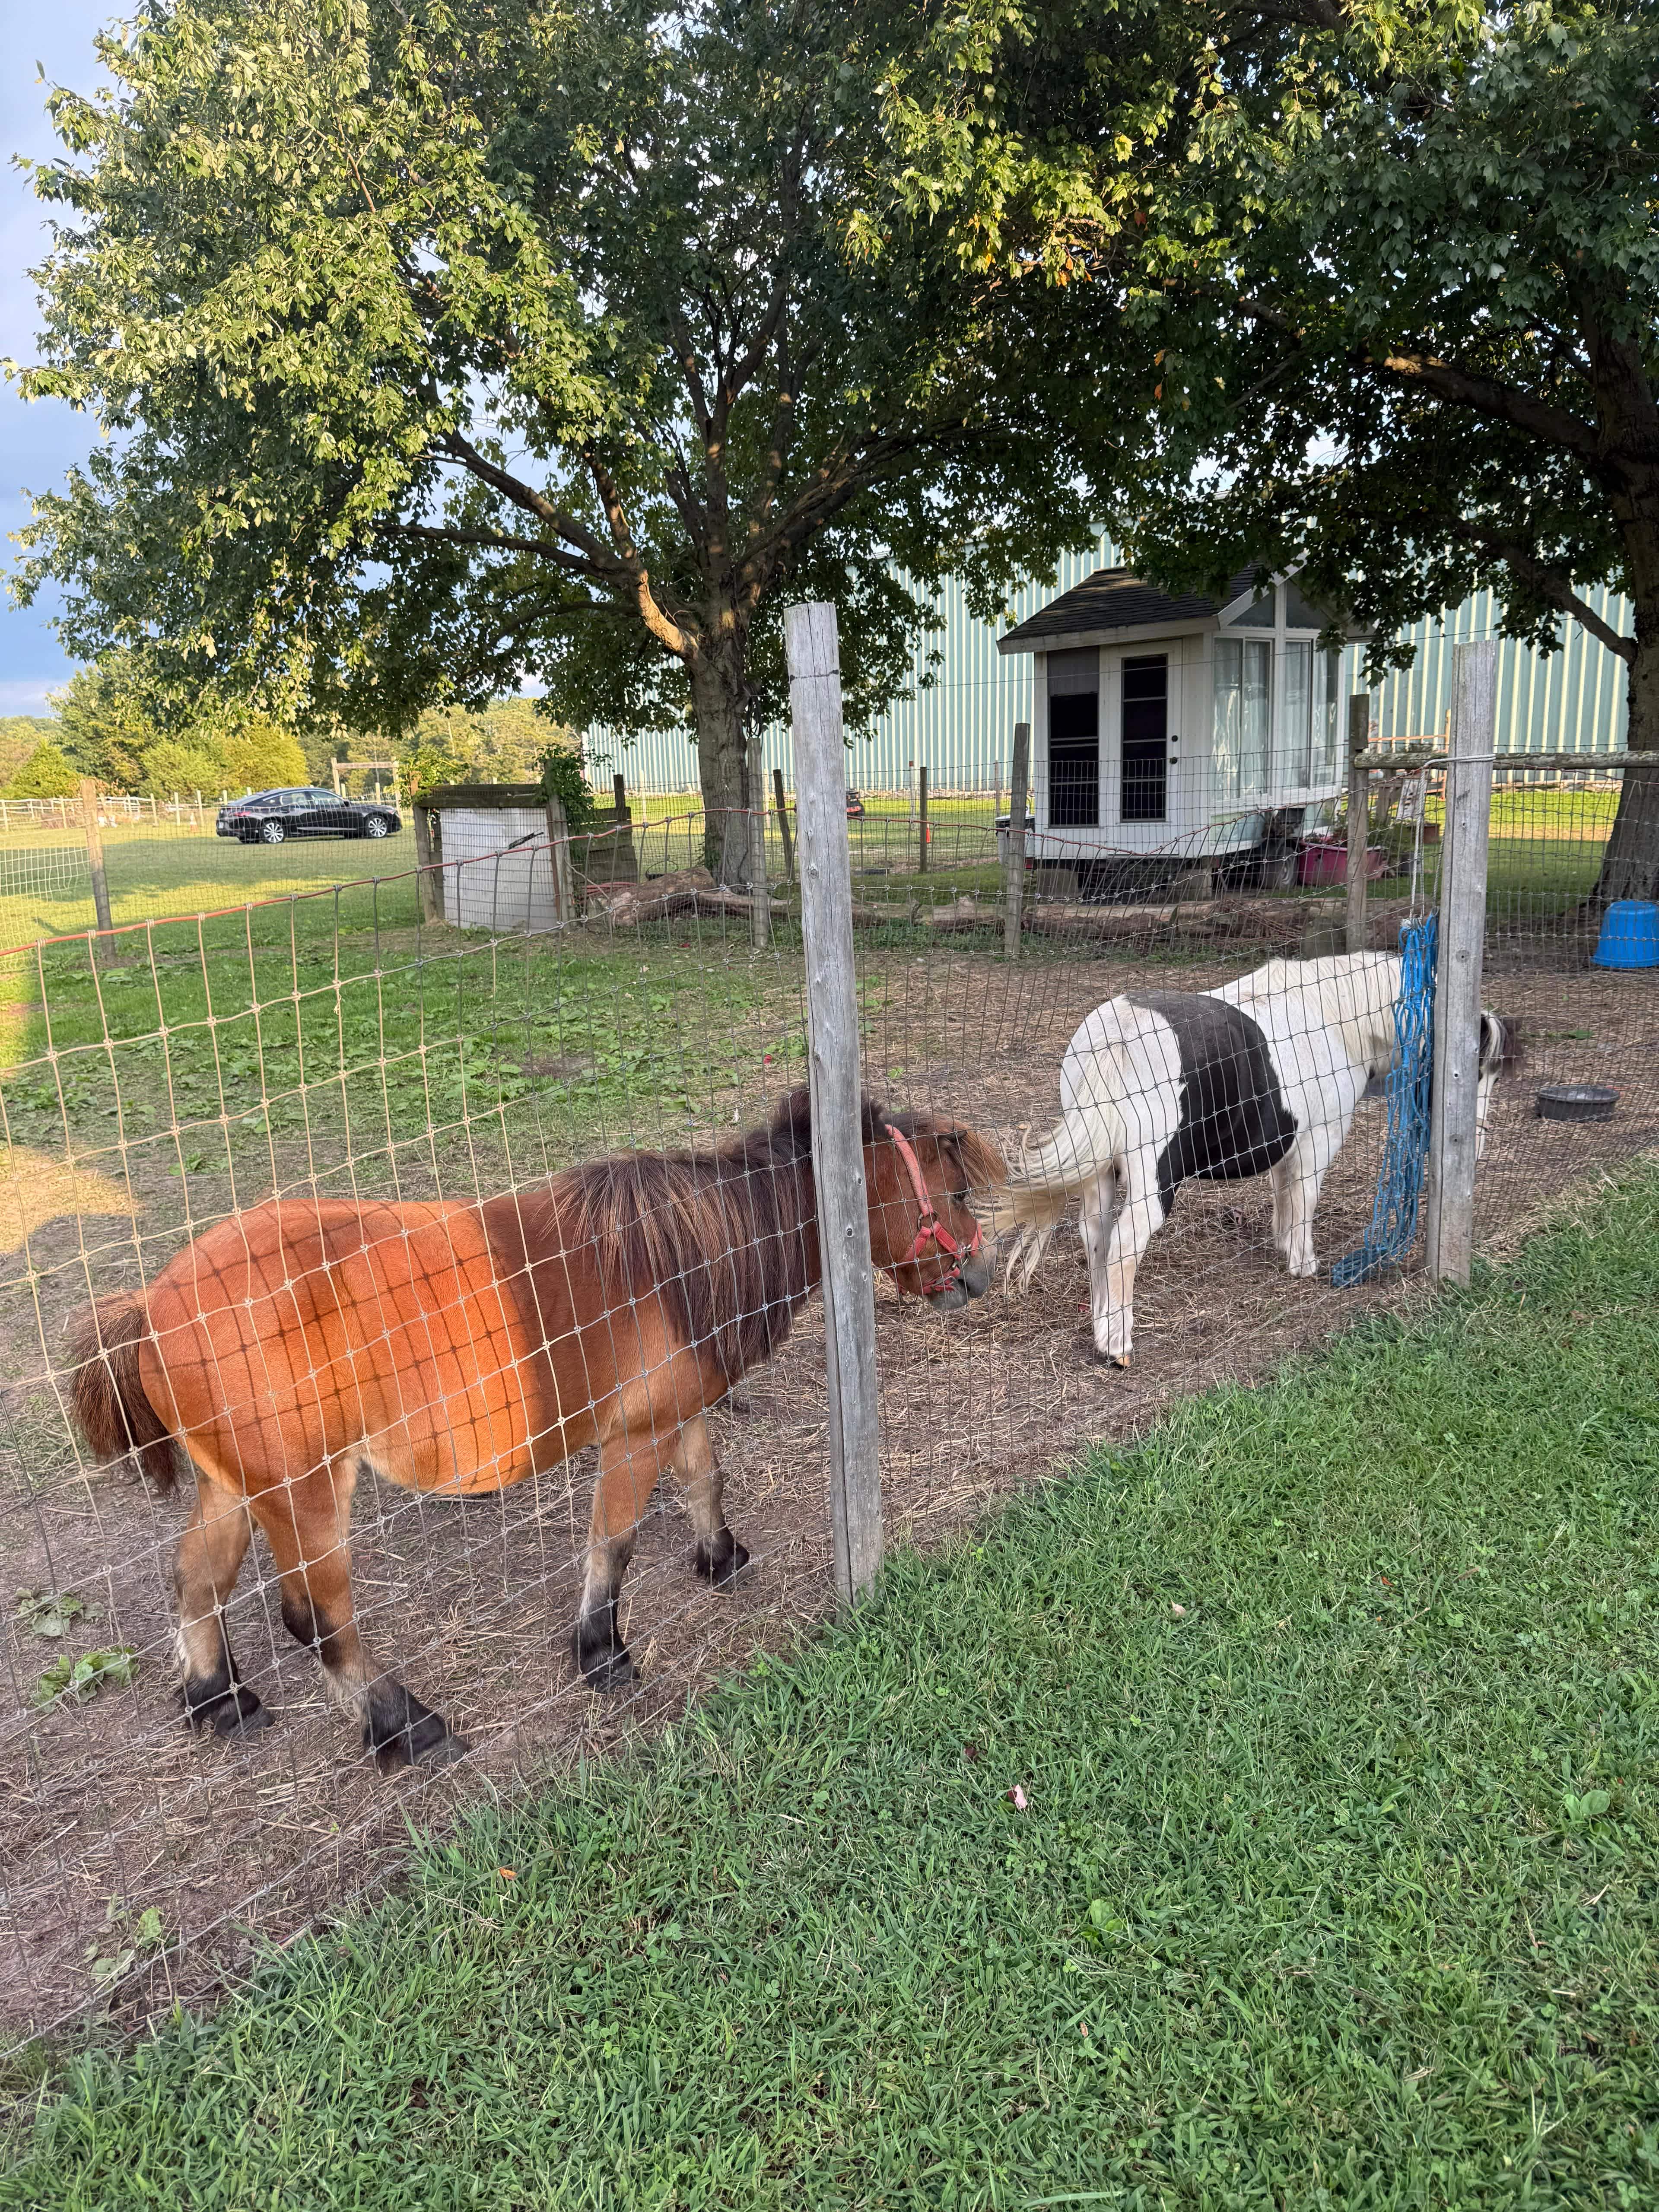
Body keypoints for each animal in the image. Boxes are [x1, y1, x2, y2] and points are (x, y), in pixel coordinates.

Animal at [66, 1091, 1004, 1773]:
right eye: (956, 1194)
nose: (980, 1279)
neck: (678, 1254)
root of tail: (151, 1304)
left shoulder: (674, 1418)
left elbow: (705, 1479)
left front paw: (721, 1557)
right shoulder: (634, 1440)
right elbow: (612, 1544)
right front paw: (602, 1652)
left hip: (236, 1488)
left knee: (197, 1581)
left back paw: (217, 1698)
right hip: (304, 1497)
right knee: (319, 1621)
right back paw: (400, 1725)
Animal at [988, 952, 1515, 1368]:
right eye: (1475, 1067)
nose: (1477, 1144)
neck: (1338, 1019)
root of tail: (1116, 1037)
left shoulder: (1287, 1144)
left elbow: (1284, 1195)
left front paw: (1284, 1247)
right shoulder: (1318, 1142)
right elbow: (1305, 1200)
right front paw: (1303, 1264)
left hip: (1099, 1175)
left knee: (1095, 1239)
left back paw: (1102, 1326)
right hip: (1153, 1181)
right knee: (1122, 1246)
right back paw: (1118, 1344)